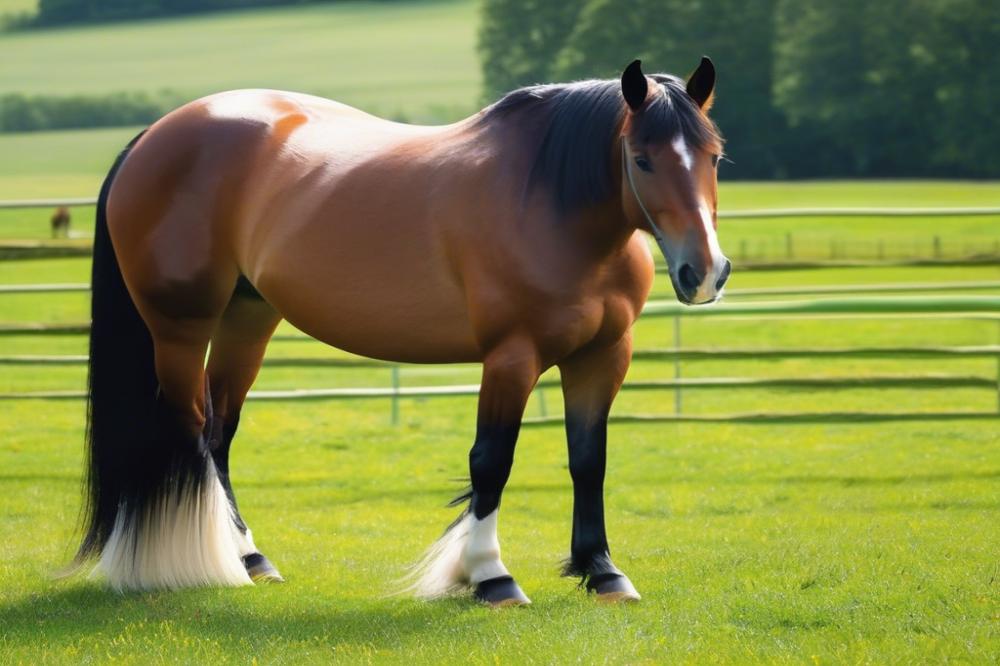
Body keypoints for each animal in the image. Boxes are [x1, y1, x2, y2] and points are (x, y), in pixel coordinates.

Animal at [70, 59, 728, 604]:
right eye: (641, 158)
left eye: (714, 157)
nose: (704, 272)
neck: (548, 202)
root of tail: (154, 137)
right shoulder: (511, 356)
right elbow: (492, 461)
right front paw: (490, 576)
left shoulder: (603, 356)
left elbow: (589, 459)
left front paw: (601, 570)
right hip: (179, 329)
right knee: (193, 430)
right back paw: (206, 563)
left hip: (247, 319)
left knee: (219, 434)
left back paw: (252, 557)